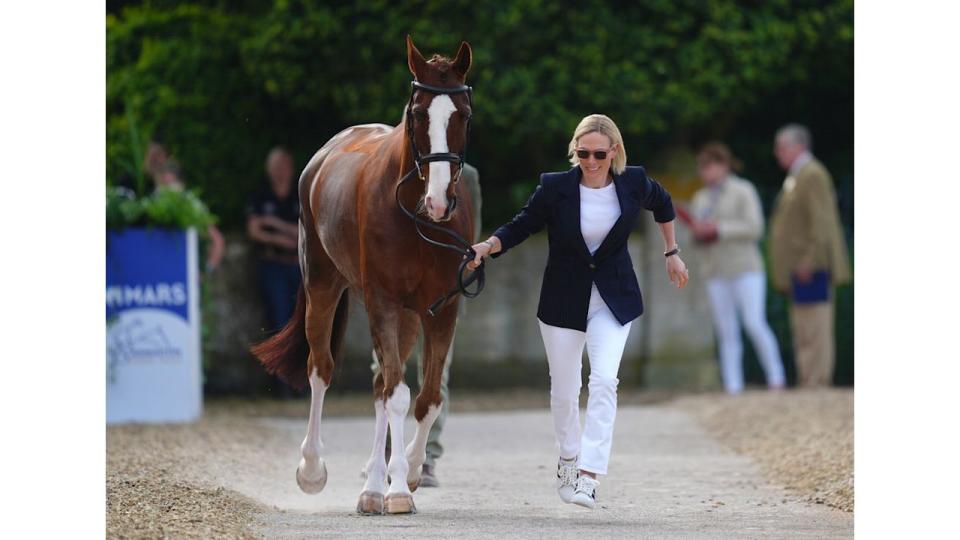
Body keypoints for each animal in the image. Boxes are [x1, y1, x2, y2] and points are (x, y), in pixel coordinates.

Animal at [251, 38, 476, 516]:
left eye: (463, 114)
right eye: (418, 113)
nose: (438, 201)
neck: (415, 215)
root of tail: (325, 154)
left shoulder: (442, 308)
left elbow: (428, 397)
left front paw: (409, 473)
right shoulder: (383, 303)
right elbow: (398, 394)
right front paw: (397, 488)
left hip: (407, 315)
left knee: (380, 386)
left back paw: (374, 485)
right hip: (324, 286)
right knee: (322, 369)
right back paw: (314, 470)